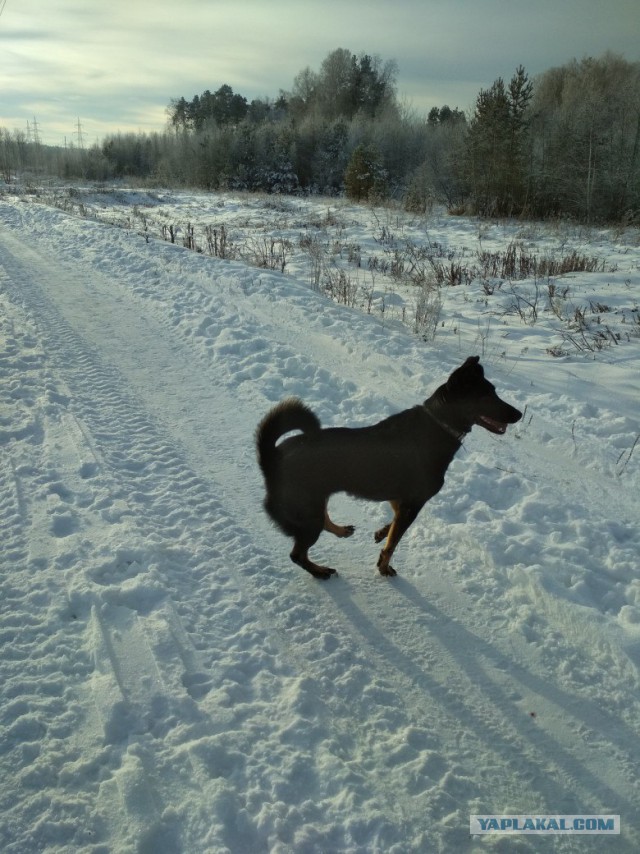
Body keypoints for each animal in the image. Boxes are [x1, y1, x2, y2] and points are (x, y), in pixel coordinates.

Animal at [258, 354, 524, 580]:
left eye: (495, 392)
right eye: (487, 395)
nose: (519, 414)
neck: (439, 424)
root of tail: (271, 456)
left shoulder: (402, 499)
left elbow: (392, 527)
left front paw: (380, 533)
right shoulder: (413, 503)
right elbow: (394, 543)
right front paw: (384, 566)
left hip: (314, 501)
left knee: (322, 521)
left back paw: (341, 531)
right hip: (307, 510)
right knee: (297, 553)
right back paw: (320, 571)